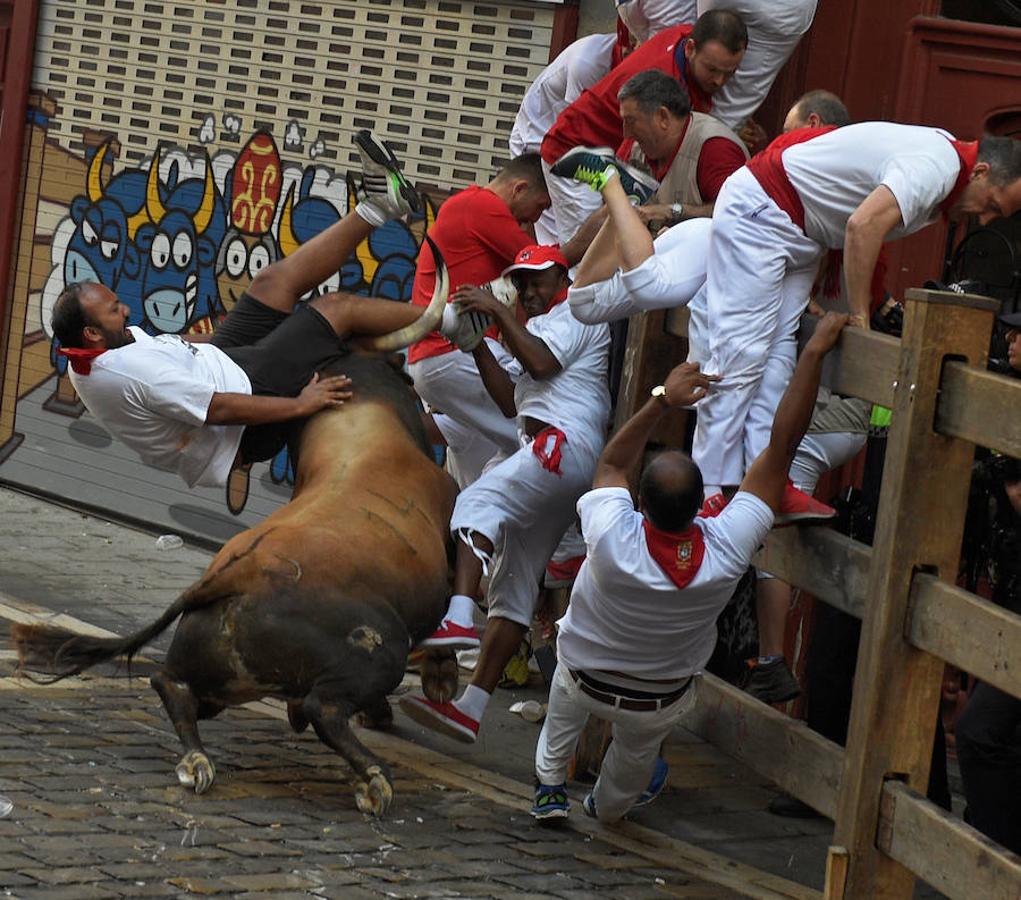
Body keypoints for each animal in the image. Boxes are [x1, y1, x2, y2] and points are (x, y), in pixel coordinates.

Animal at [14, 247, 459, 813]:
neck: (359, 426)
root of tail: (232, 577)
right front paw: (439, 677)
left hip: (217, 676)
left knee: (171, 684)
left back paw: (197, 760)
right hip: (379, 649)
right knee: (323, 709)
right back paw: (372, 780)